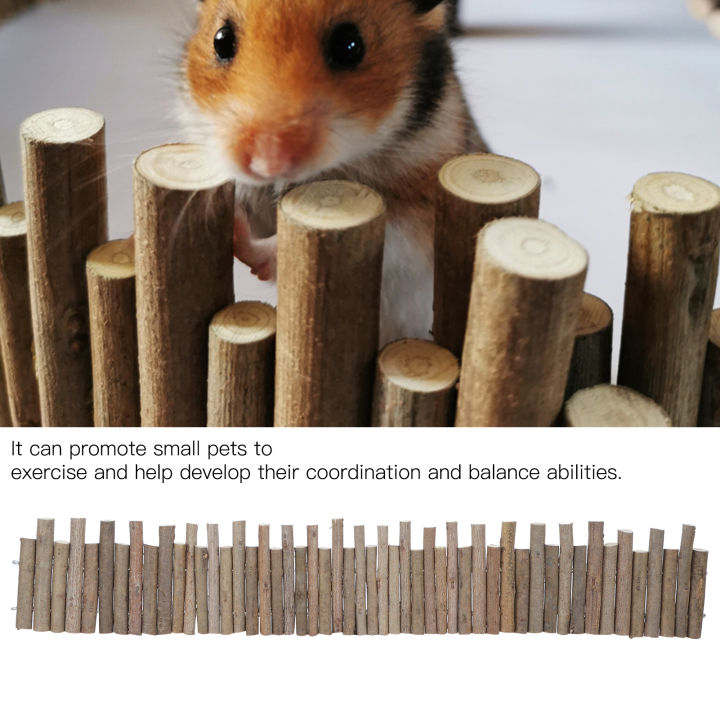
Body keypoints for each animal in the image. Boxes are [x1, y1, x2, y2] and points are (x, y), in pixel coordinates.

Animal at [181, 0, 486, 342]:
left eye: (349, 45)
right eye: (221, 40)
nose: (267, 164)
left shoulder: (415, 220)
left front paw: (245, 243)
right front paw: (230, 217)